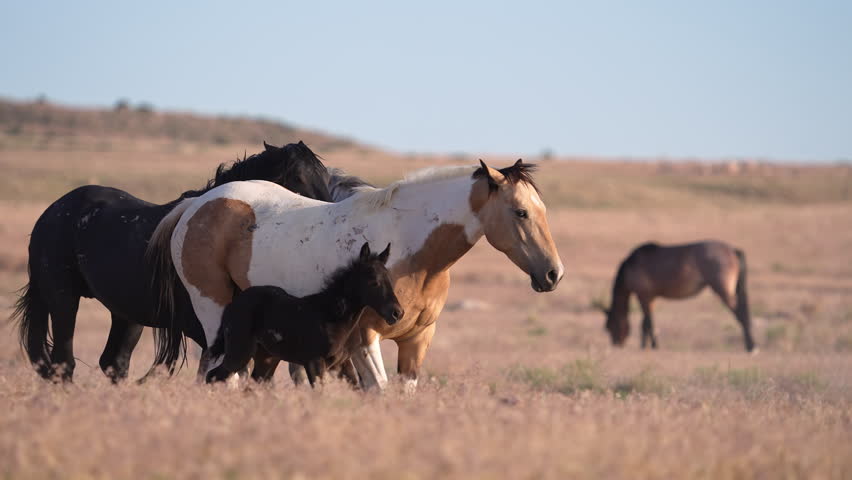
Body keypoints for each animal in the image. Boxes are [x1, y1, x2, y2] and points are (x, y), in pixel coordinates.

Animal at [12, 141, 333, 382]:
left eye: (325, 176)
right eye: (298, 177)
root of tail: (52, 212)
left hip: (126, 315)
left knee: (114, 363)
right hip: (63, 298)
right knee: (63, 364)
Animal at [206, 242, 402, 387]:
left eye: (390, 280)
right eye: (374, 282)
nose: (397, 313)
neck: (331, 315)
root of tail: (232, 306)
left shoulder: (341, 364)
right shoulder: (314, 363)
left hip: (267, 358)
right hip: (239, 352)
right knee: (213, 376)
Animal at [599, 241, 756, 352]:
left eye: (609, 326)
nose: (617, 345)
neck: (631, 266)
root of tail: (733, 250)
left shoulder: (643, 296)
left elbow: (648, 322)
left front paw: (653, 346)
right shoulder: (650, 298)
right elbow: (645, 323)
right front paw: (645, 346)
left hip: (722, 290)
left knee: (740, 313)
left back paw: (752, 347)